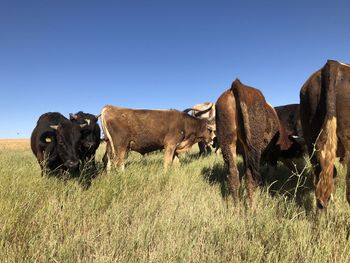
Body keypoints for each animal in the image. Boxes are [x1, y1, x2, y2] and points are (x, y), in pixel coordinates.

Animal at [215, 79, 300, 207]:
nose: (298, 171)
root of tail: (237, 84)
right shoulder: (273, 154)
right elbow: (271, 171)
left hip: (227, 142)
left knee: (233, 175)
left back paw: (236, 207)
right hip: (253, 145)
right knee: (251, 177)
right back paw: (252, 208)